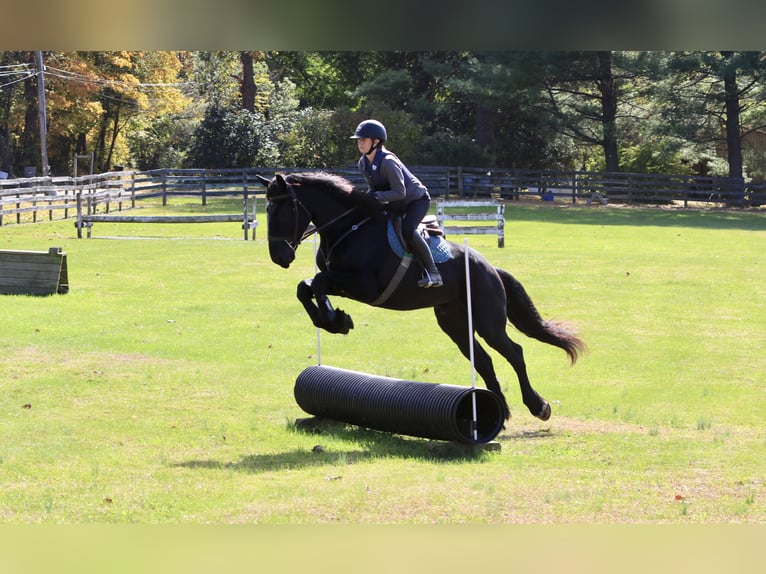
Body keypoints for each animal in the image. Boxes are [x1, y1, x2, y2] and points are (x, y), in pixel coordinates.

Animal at [257, 171, 585, 422]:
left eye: (284, 210)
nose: (279, 257)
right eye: (268, 211)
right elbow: (306, 287)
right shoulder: (343, 282)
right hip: (454, 322)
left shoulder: (365, 285)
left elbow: (318, 283)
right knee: (483, 360)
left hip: (487, 320)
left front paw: (335, 320)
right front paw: (334, 320)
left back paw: (538, 406)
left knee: (513, 352)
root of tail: (491, 268)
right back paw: (500, 413)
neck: (348, 228)